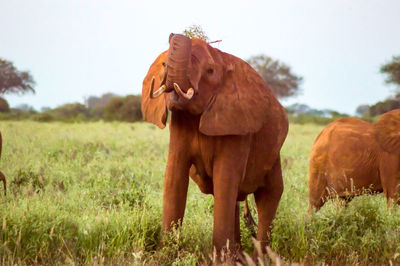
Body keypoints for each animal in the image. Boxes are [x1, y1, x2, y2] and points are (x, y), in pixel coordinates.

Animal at [141, 34, 288, 252]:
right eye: (164, 64)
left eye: (210, 71)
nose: (174, 34)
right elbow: (174, 176)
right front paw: (166, 253)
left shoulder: (237, 125)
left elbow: (225, 178)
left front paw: (220, 257)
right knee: (235, 199)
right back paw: (237, 255)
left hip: (273, 157)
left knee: (268, 197)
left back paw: (258, 256)